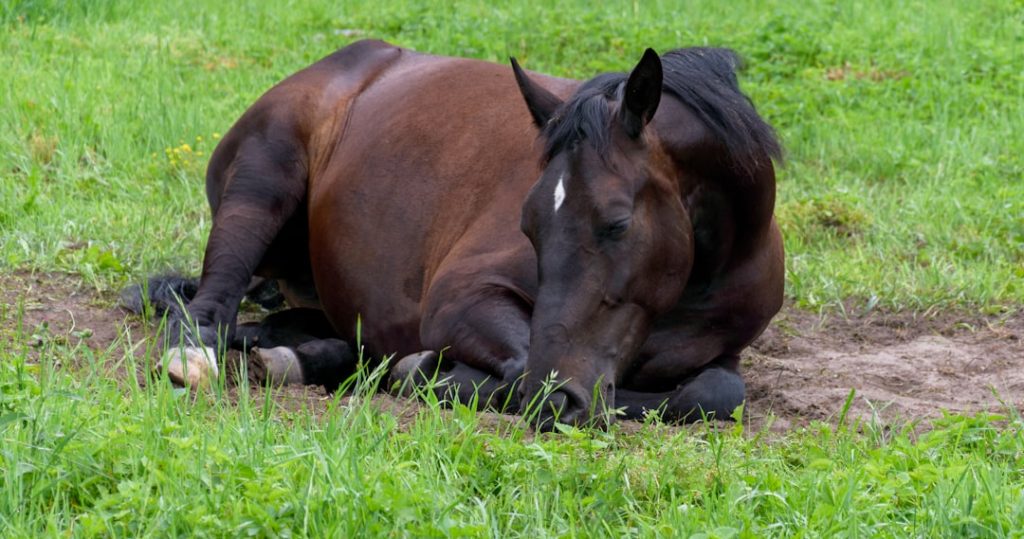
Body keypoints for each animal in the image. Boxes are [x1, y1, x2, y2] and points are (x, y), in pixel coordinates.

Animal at [151, 39, 784, 430]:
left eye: (618, 223)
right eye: (528, 225)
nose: (560, 396)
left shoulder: (721, 355)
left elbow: (712, 393)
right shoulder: (462, 297)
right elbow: (522, 368)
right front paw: (431, 373)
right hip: (263, 179)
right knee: (209, 305)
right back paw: (196, 357)